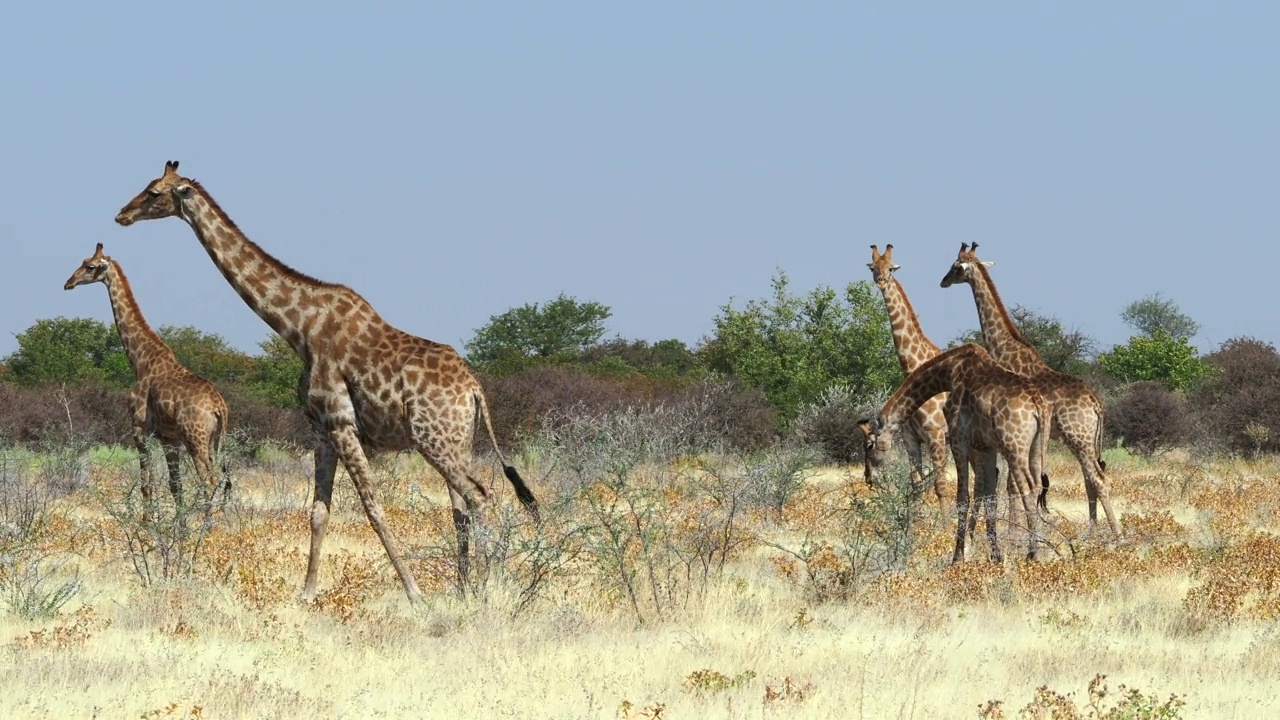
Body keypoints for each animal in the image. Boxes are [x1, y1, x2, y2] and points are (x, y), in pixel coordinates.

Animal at [64, 243, 231, 512]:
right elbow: (175, 487)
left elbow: (146, 484)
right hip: (215, 441)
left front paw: (148, 521)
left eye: (89, 266)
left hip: (196, 439)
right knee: (221, 482)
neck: (141, 360)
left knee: (209, 481)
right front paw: (177, 522)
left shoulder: (139, 428)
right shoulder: (169, 438)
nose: (68, 282)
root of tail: (220, 408)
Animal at [112, 158, 542, 599]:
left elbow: (373, 507)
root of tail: (474, 390)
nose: (121, 215)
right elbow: (319, 511)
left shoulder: (341, 422)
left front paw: (414, 592)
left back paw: (487, 587)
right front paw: (307, 592)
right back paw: (464, 587)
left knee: (480, 496)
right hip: (458, 440)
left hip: (434, 439)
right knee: (462, 506)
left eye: (154, 192)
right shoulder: (320, 429)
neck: (299, 329)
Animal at [860, 340, 1049, 561]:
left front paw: (957, 557)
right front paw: (995, 555)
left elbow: (962, 497)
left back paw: (1033, 554)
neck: (948, 372)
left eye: (869, 445)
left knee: (1027, 487)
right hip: (1036, 446)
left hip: (1013, 446)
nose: (868, 477)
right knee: (1035, 485)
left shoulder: (958, 439)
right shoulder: (986, 446)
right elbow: (990, 496)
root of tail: (1037, 405)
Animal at [942, 240, 1121, 532]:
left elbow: (1012, 485)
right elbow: (1014, 484)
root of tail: (1097, 405)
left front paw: (1015, 531)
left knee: (1098, 479)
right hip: (1085, 440)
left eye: (955, 266)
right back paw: (1092, 531)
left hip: (1076, 436)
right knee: (1090, 479)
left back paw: (1117, 535)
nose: (943, 281)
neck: (1006, 350)